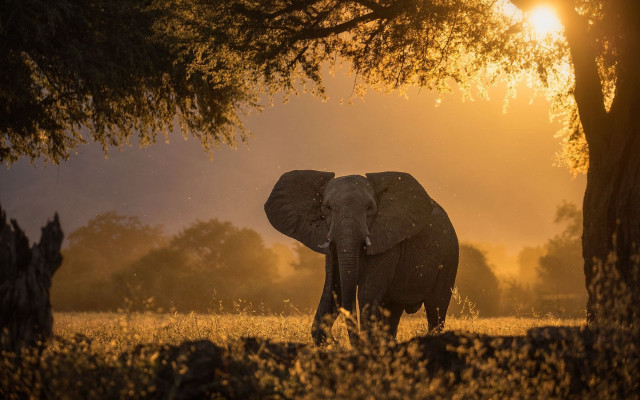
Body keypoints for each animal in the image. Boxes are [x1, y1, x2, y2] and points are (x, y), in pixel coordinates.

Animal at [264, 170, 458, 345]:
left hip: (449, 256)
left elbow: (367, 292)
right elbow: (333, 289)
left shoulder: (387, 241)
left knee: (436, 308)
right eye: (328, 208)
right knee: (392, 310)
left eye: (370, 208)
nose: (335, 340)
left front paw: (365, 344)